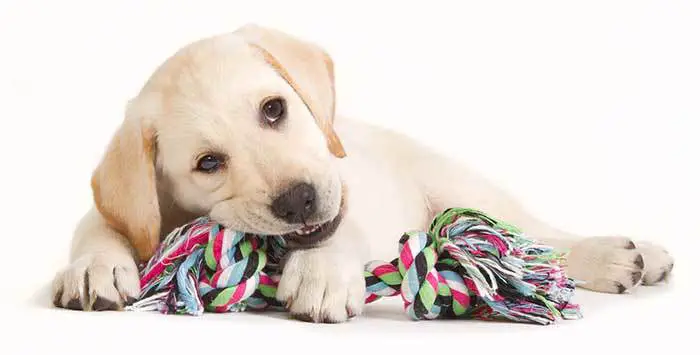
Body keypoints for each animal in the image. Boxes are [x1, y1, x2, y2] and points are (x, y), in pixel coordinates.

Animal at [53, 24, 672, 326]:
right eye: (208, 163)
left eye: (274, 109)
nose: (299, 201)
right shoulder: (127, 208)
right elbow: (100, 224)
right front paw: (95, 268)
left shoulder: (350, 192)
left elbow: (345, 223)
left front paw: (323, 271)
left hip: (459, 187)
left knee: (537, 239)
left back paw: (623, 255)